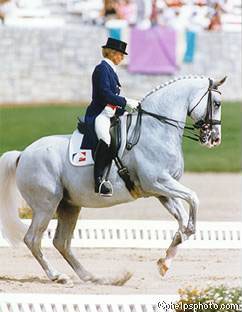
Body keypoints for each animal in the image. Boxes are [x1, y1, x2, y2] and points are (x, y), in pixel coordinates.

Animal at [0, 75, 226, 286]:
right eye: (216, 103)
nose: (215, 139)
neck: (156, 130)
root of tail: (23, 154)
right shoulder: (158, 182)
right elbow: (194, 198)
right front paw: (170, 254)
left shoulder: (161, 191)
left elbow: (183, 223)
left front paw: (165, 262)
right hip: (46, 205)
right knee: (33, 240)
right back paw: (58, 276)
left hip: (68, 205)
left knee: (61, 242)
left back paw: (92, 277)